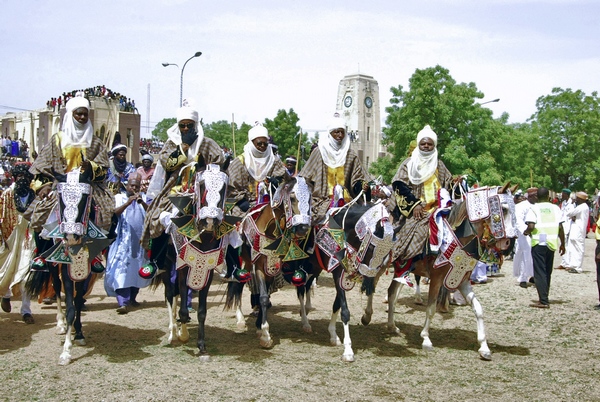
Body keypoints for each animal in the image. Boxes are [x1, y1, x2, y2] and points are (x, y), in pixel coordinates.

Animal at [25, 168, 112, 366]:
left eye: (85, 197)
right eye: (60, 197)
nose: (71, 236)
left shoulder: (84, 270)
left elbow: (78, 301)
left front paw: (79, 333)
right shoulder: (66, 269)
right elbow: (70, 306)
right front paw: (66, 351)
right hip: (52, 265)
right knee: (57, 288)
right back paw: (60, 324)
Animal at [149, 161, 232, 362]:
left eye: (224, 188)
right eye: (201, 186)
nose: (209, 221)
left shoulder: (207, 271)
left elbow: (201, 311)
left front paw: (201, 345)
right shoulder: (183, 266)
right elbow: (182, 305)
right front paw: (182, 330)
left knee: (177, 294)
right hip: (167, 265)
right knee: (170, 294)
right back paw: (173, 333)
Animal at [224, 174, 312, 348]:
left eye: (310, 198)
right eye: (292, 198)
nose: (303, 229)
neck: (272, 231)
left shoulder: (272, 266)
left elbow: (265, 296)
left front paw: (260, 327)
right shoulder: (259, 265)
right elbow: (263, 297)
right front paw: (265, 334)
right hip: (245, 262)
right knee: (238, 284)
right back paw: (240, 319)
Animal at [308, 187, 396, 362]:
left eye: (385, 254)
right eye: (372, 247)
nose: (369, 277)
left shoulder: (343, 276)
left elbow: (337, 305)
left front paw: (333, 335)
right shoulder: (337, 273)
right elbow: (345, 310)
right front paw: (348, 349)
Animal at [386, 184, 516, 360]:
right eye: (503, 208)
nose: (510, 242)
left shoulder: (461, 280)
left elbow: (478, 309)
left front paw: (484, 347)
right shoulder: (436, 278)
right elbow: (431, 309)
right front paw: (426, 339)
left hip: (401, 270)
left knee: (392, 294)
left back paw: (390, 326)